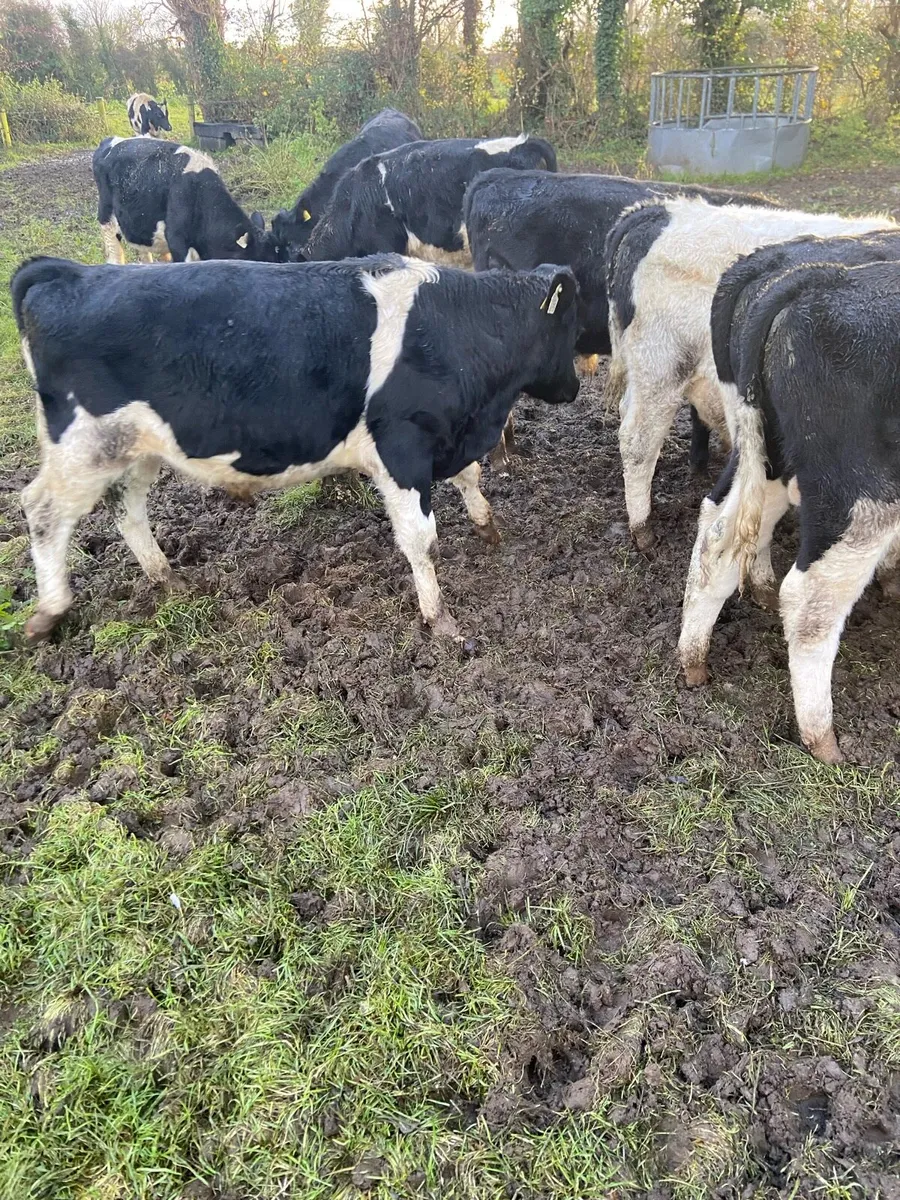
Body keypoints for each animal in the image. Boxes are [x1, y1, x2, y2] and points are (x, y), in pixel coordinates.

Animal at [12, 254, 579, 645]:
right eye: (568, 330)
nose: (575, 388)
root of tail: (64, 273)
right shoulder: (401, 448)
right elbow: (422, 540)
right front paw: (440, 618)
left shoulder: (446, 436)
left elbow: (470, 478)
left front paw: (487, 527)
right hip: (83, 446)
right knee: (43, 510)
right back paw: (50, 612)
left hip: (135, 447)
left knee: (127, 508)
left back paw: (168, 578)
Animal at [678, 259, 900, 764]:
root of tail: (813, 281)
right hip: (861, 491)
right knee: (809, 600)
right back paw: (824, 742)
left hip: (767, 455)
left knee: (716, 537)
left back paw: (694, 664)